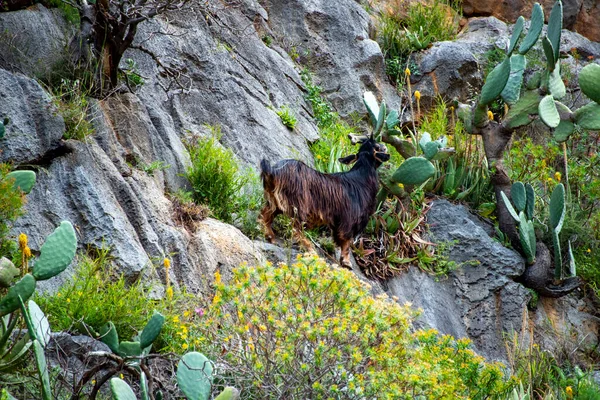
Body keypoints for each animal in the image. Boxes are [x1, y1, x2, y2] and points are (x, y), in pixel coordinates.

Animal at [258, 138, 390, 268]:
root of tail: (273, 171)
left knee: (265, 215)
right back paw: (309, 248)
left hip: (274, 201)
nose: (385, 148)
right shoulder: (349, 219)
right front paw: (346, 262)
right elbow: (346, 240)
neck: (361, 180)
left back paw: (269, 236)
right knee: (295, 228)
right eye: (378, 147)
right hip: (299, 206)